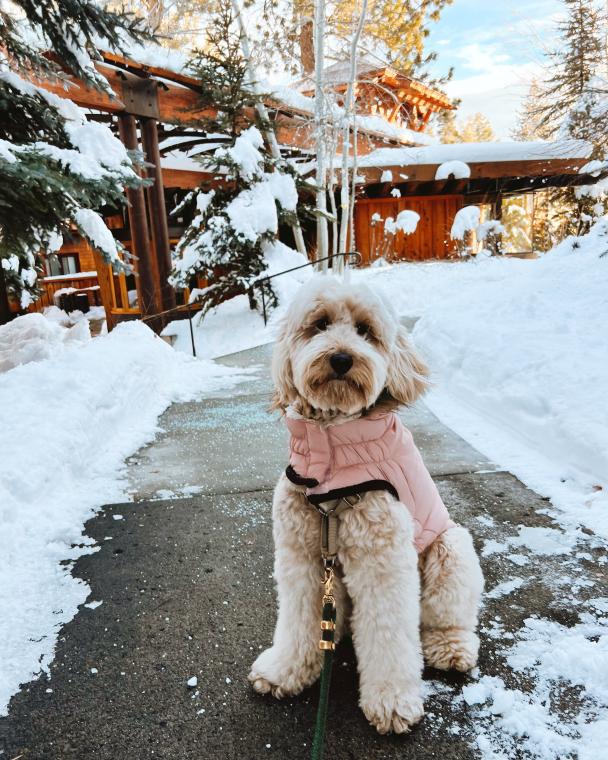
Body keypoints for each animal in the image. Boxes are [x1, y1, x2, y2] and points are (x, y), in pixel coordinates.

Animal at [248, 276, 484, 732]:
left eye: (365, 331)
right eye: (319, 324)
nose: (341, 358)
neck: (332, 454)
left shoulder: (383, 559)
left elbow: (389, 633)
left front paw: (392, 702)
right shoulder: (301, 556)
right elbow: (299, 620)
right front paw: (286, 671)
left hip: (451, 549)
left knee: (445, 619)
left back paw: (451, 648)